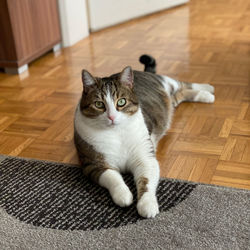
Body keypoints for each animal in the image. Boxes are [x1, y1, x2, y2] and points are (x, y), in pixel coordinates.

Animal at [73, 54, 214, 217]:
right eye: (99, 104)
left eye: (121, 102)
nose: (112, 117)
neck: (117, 133)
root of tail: (140, 71)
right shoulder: (93, 164)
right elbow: (113, 178)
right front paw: (123, 195)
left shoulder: (145, 158)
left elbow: (146, 182)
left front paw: (147, 206)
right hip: (170, 100)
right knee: (180, 94)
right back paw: (206, 95)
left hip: (167, 82)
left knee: (183, 84)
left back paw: (208, 89)